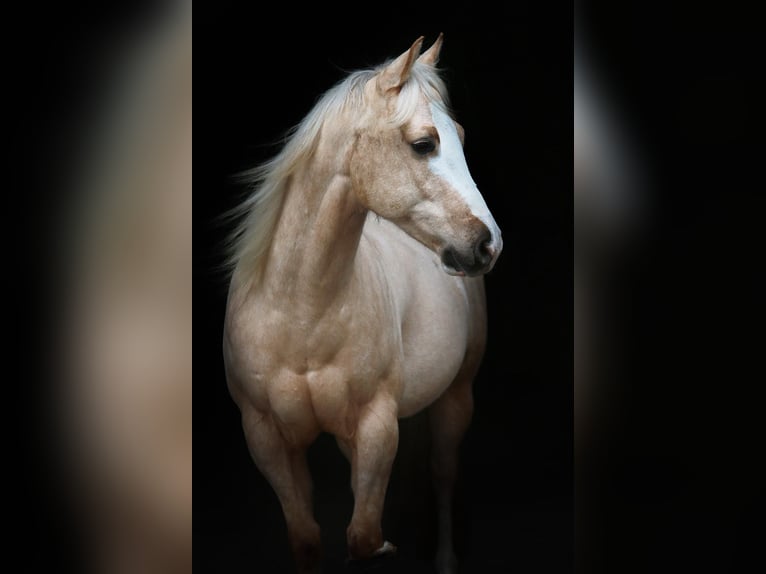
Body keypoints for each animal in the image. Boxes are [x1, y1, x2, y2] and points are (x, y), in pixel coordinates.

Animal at [222, 34, 502, 574]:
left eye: (459, 134)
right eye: (424, 143)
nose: (488, 244)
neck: (301, 313)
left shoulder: (376, 428)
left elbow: (364, 538)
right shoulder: (266, 437)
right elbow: (307, 538)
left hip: (456, 396)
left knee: (442, 476)